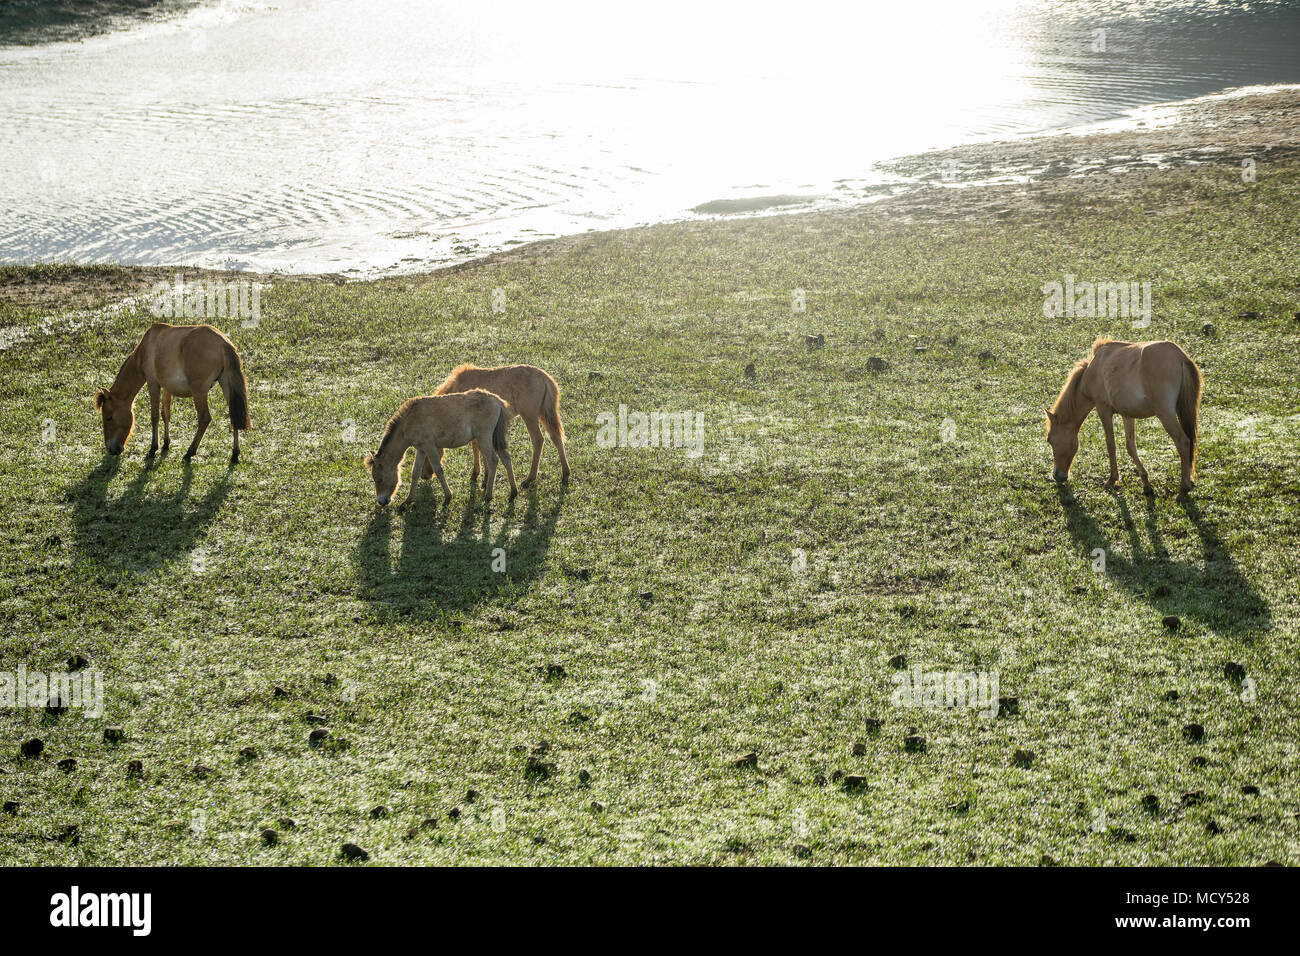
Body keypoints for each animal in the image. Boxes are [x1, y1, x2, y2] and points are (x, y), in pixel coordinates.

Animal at [94, 325, 249, 468]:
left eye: (109, 417)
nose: (111, 449)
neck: (145, 349)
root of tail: (224, 343)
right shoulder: (166, 388)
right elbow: (165, 414)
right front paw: (166, 444)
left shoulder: (153, 383)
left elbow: (155, 416)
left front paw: (153, 448)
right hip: (226, 385)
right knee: (234, 415)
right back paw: (235, 454)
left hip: (199, 392)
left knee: (205, 418)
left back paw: (190, 452)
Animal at [366, 390, 517, 509]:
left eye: (379, 479)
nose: (381, 502)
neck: (408, 421)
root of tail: (497, 401)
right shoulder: (421, 449)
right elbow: (415, 472)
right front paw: (408, 501)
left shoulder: (429, 446)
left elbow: (438, 470)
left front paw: (448, 497)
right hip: (492, 439)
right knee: (506, 458)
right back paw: (513, 492)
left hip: (484, 438)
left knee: (493, 461)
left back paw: (488, 495)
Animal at [428, 364, 572, 489]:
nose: (427, 475)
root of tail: (546, 378)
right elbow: (477, 447)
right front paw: (480, 475)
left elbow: (477, 448)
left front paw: (481, 477)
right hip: (545, 414)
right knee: (556, 437)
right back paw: (565, 473)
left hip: (529, 415)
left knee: (538, 440)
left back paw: (529, 478)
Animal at [1040, 335, 1201, 496]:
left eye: (1050, 440)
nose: (1057, 475)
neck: (1093, 369)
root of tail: (1179, 356)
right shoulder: (1127, 414)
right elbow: (1131, 447)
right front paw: (1146, 483)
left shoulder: (1103, 409)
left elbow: (1111, 445)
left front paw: (1112, 480)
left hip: (1165, 414)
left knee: (1183, 442)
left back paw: (1184, 487)